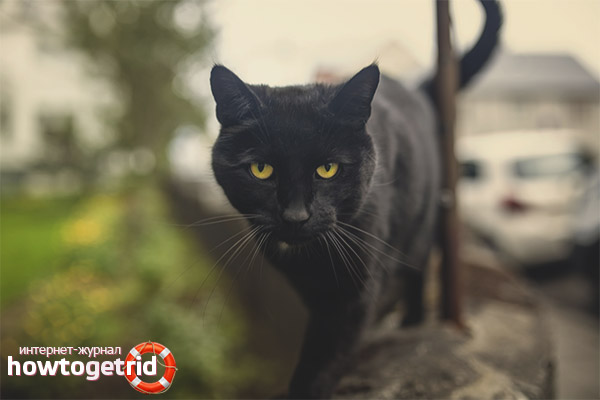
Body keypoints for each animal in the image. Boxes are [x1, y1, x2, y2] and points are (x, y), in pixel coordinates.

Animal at [209, 1, 501, 397]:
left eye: (328, 169)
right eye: (261, 169)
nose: (296, 215)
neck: (308, 257)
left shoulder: (354, 293)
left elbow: (325, 354)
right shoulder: (310, 290)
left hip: (423, 227)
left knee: (418, 269)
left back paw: (412, 322)